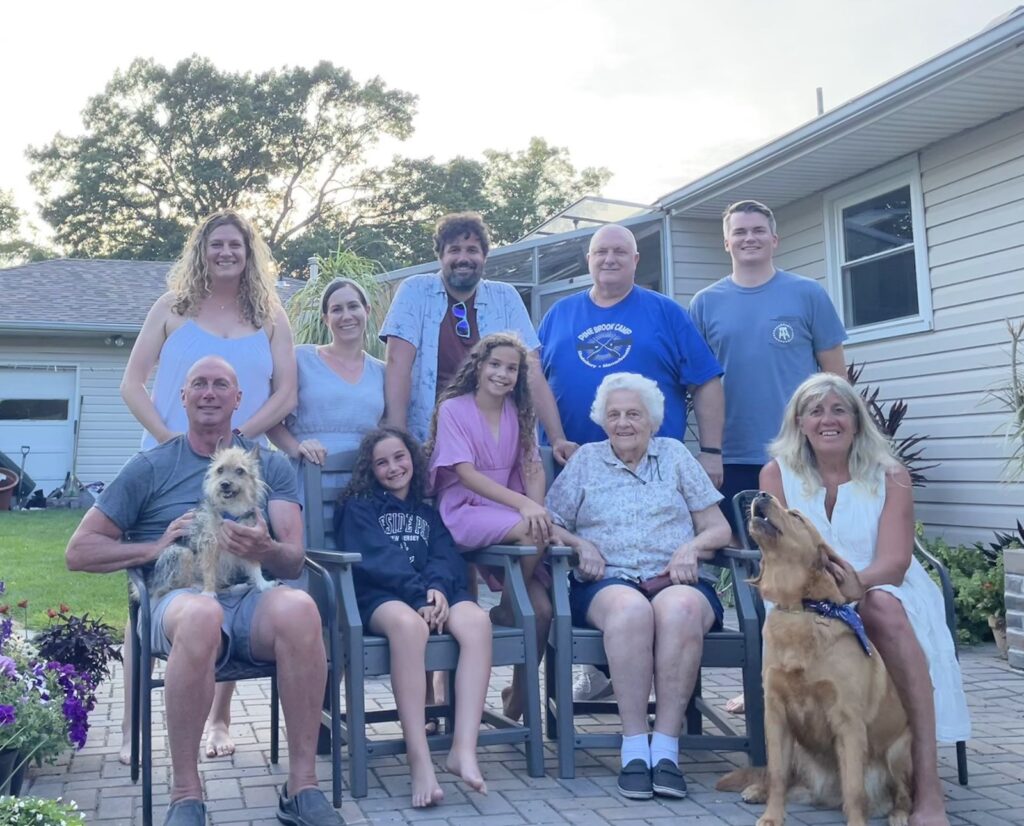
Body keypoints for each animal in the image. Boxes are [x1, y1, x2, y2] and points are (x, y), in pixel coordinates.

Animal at [148, 446, 276, 601]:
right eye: (220, 470)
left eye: (240, 471)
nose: (224, 484)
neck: (231, 510)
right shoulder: (209, 544)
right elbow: (209, 570)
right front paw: (208, 591)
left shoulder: (249, 543)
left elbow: (255, 566)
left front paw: (263, 583)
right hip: (182, 553)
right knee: (177, 585)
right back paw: (198, 586)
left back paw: (234, 587)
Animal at [716, 493, 909, 822]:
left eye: (796, 516)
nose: (762, 494)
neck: (800, 608)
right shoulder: (776, 714)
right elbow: (777, 776)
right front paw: (771, 818)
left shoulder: (848, 721)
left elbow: (854, 790)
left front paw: (856, 822)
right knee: (782, 778)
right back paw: (756, 790)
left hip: (899, 753)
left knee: (902, 795)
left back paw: (899, 816)